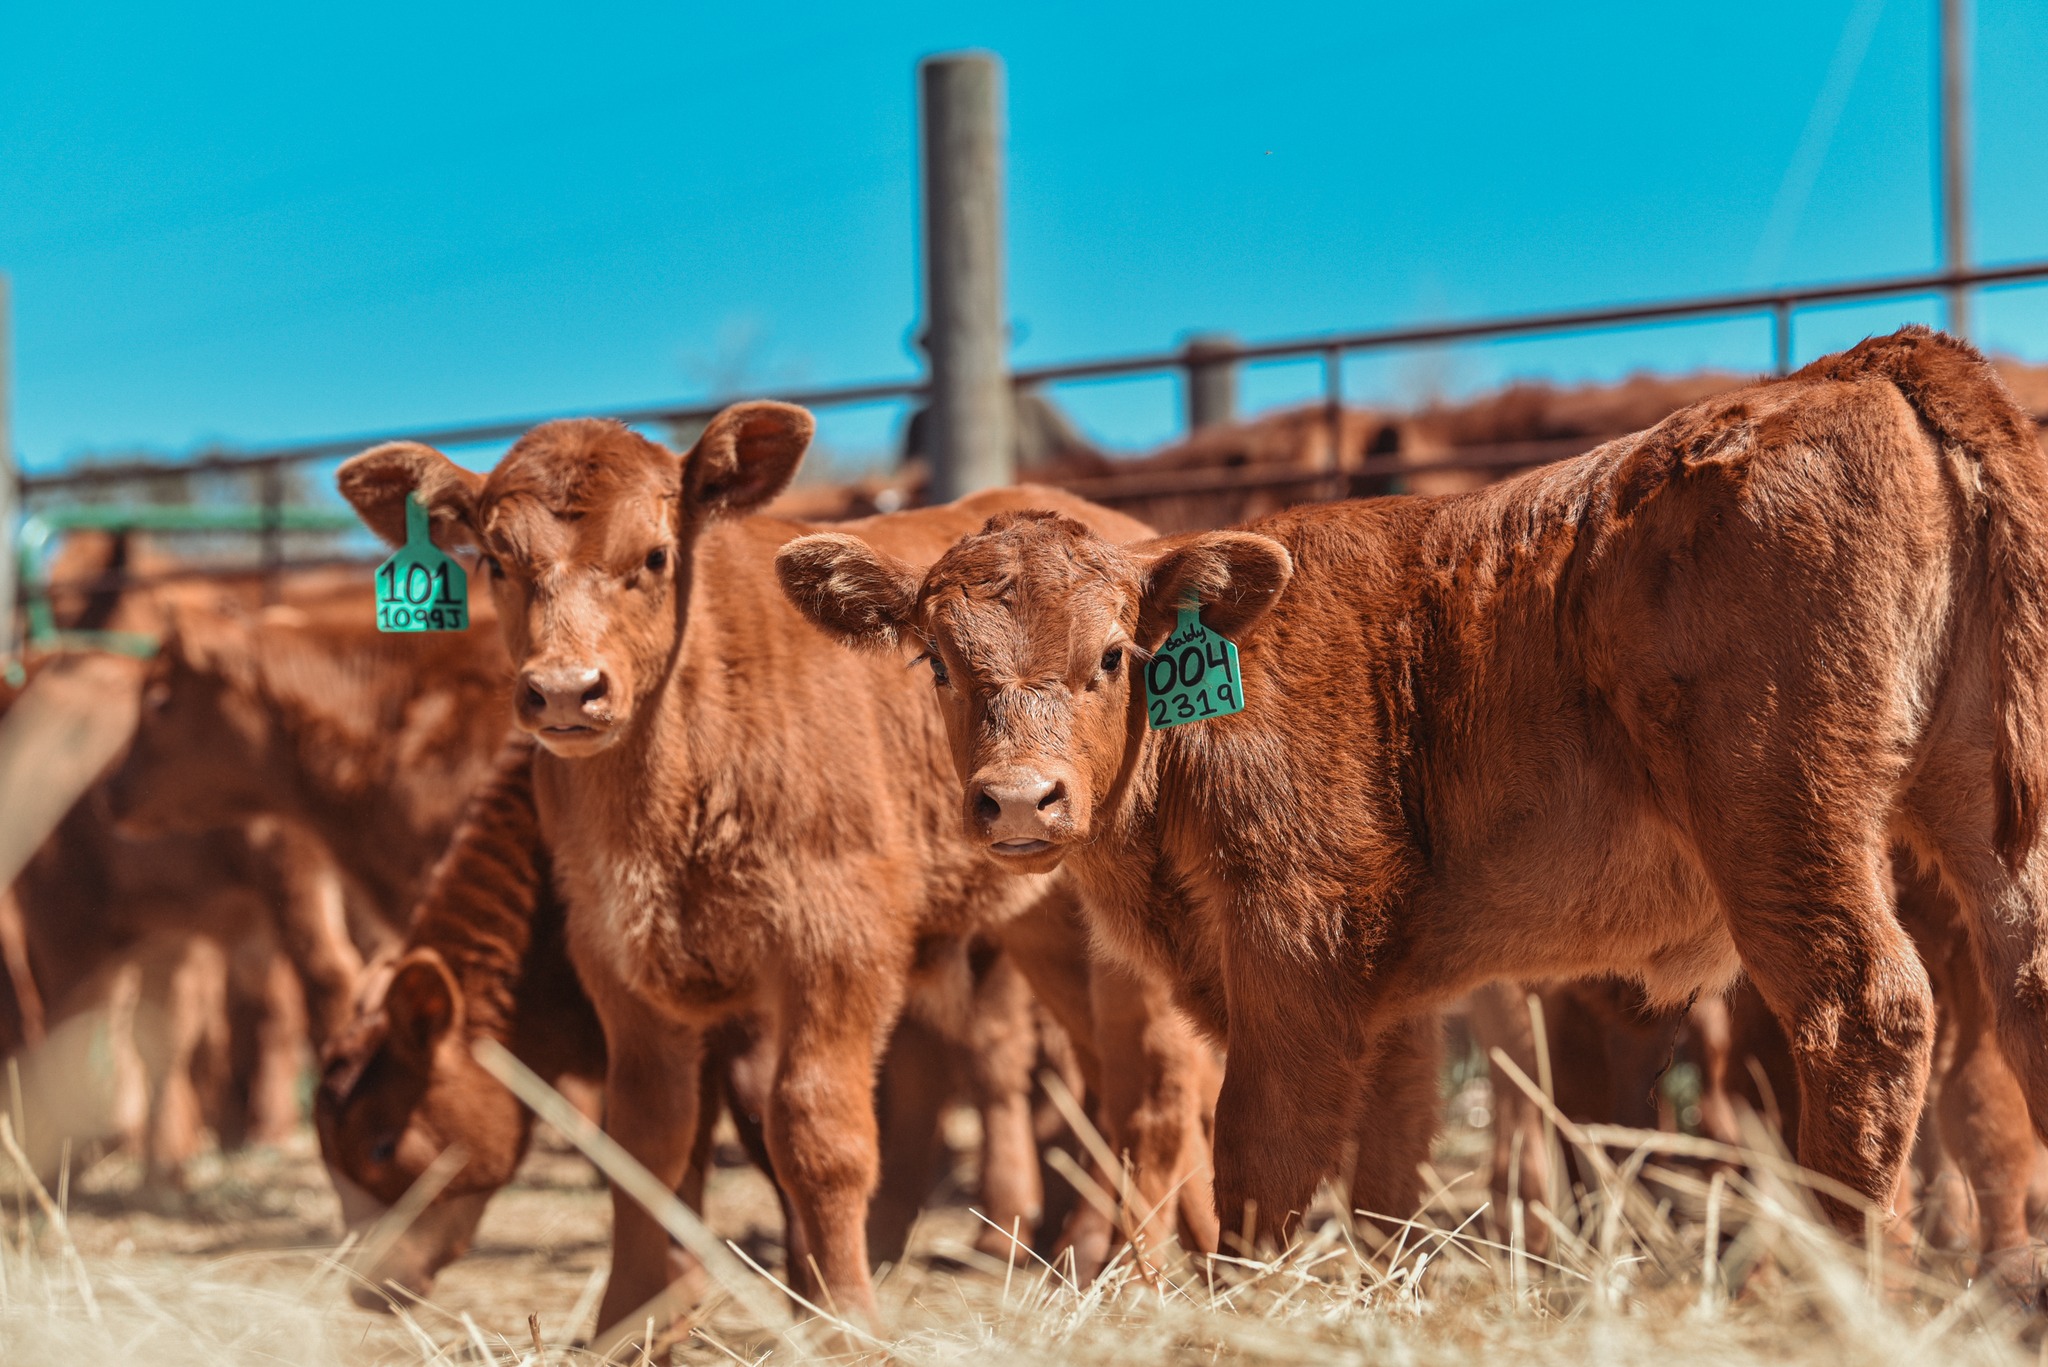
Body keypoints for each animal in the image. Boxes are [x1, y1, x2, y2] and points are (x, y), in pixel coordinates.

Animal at [335, 409, 1216, 1340]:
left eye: (656, 555)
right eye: (496, 561)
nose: (567, 690)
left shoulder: (837, 941)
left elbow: (814, 1132)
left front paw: (842, 1316)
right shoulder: (621, 959)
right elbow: (648, 1140)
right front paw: (630, 1324)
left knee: (1158, 1086)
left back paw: (1141, 1277)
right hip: (1043, 924)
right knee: (1119, 1077)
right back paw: (1183, 1254)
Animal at [775, 327, 2048, 1252]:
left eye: (1111, 656)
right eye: (939, 663)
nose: (1017, 800)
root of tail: (1864, 360)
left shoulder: (1292, 954)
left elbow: (1261, 1171)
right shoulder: (1388, 999)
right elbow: (1384, 1169)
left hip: (1785, 815)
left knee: (1864, 1017)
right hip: (1986, 811)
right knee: (2021, 988)